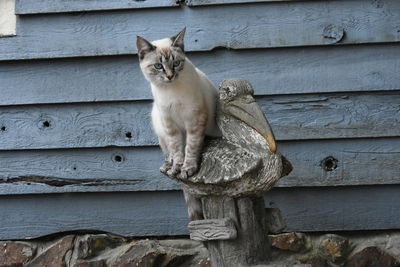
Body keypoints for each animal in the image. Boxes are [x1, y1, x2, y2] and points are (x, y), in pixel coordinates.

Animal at [137, 27, 219, 221]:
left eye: (176, 64)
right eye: (158, 66)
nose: (169, 76)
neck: (170, 91)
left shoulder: (194, 120)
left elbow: (191, 147)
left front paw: (188, 169)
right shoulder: (170, 124)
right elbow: (176, 149)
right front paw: (177, 167)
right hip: (159, 126)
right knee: (168, 152)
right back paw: (169, 164)